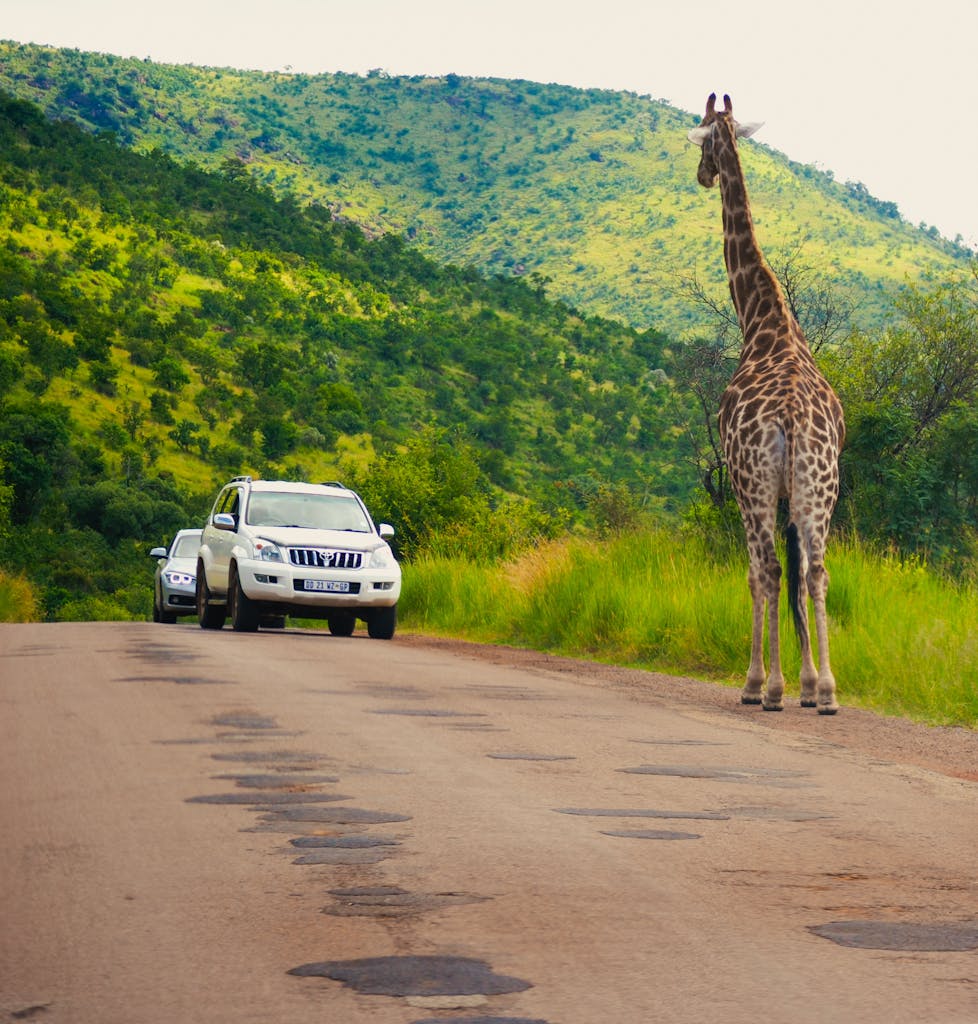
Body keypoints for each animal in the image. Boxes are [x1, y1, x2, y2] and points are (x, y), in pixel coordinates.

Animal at [687, 93, 845, 714]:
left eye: (704, 139)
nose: (703, 174)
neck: (761, 319)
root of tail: (792, 419)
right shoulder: (789, 493)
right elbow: (802, 575)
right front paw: (807, 682)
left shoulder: (742, 482)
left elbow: (758, 575)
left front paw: (764, 682)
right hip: (820, 486)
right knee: (817, 570)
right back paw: (828, 692)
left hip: (754, 484)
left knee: (771, 569)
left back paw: (765, 689)